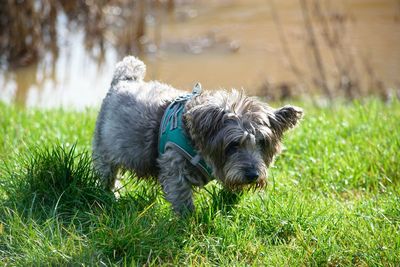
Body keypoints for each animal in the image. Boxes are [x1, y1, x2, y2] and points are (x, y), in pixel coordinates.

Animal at [91, 56, 304, 216]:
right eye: (233, 144)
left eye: (262, 143)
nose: (252, 175)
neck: (196, 141)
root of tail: (124, 79)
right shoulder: (174, 168)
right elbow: (183, 199)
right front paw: (189, 223)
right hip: (104, 151)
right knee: (106, 174)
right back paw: (110, 195)